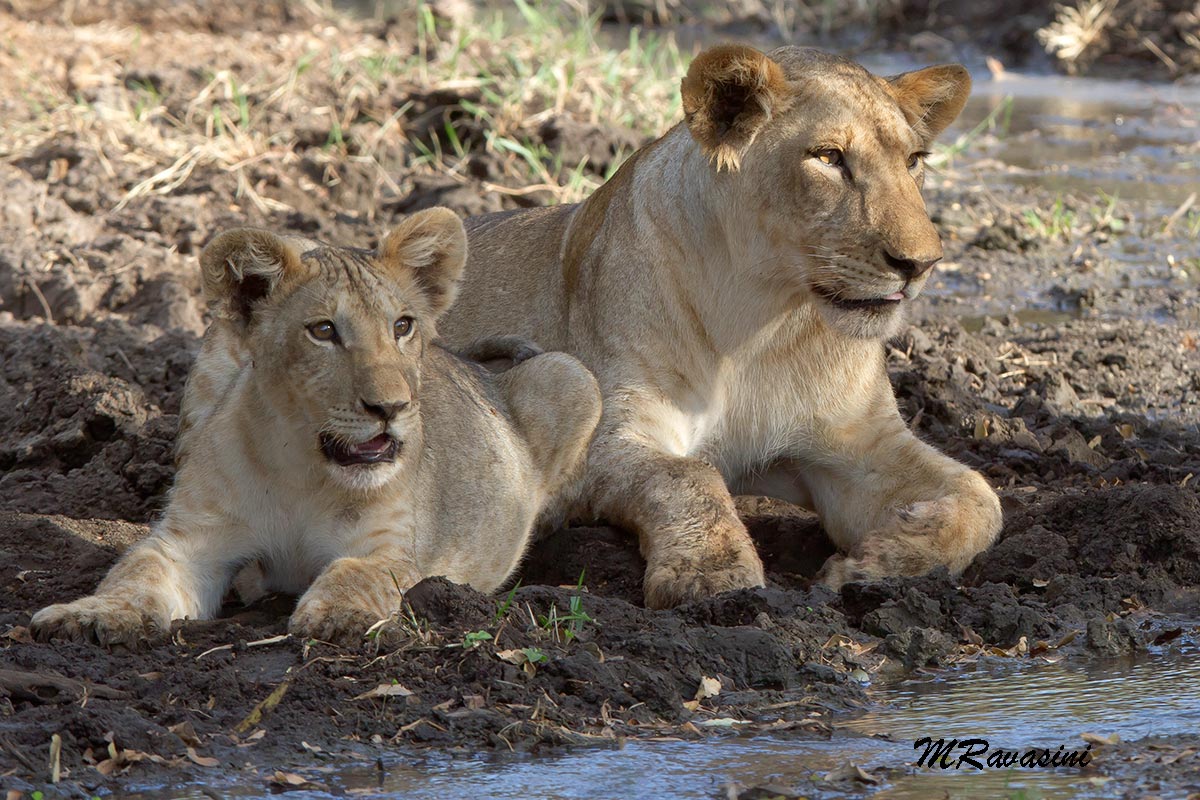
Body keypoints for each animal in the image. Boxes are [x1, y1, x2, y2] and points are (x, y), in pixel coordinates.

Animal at [30, 208, 601, 646]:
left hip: (571, 374)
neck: (302, 467)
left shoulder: (392, 546)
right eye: (323, 331)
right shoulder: (192, 539)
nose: (391, 406)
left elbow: (357, 572)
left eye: (402, 326)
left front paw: (335, 617)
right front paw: (88, 614)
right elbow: (136, 570)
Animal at [438, 45, 1002, 608]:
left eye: (914, 161)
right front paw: (712, 574)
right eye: (828, 157)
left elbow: (980, 496)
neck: (760, 323)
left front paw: (877, 564)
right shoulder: (607, 437)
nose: (921, 264)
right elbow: (689, 474)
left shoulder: (860, 438)